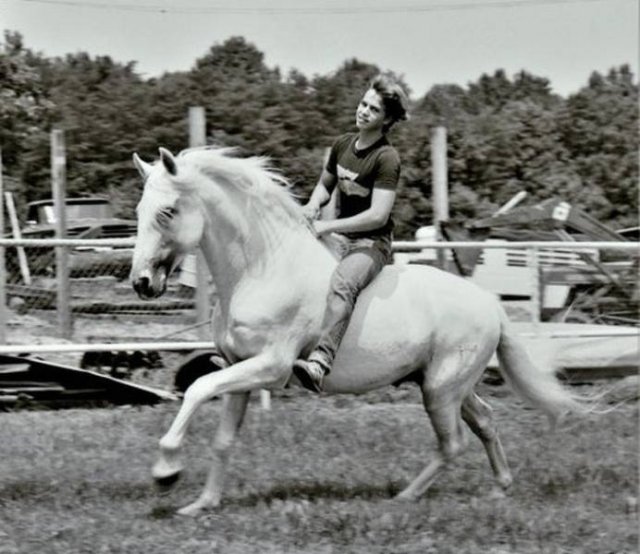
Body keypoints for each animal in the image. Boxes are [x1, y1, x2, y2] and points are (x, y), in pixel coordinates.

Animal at [130, 146, 592, 512]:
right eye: (139, 211)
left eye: (167, 211)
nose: (141, 283)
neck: (262, 269)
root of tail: (492, 305)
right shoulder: (238, 368)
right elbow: (223, 437)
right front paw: (202, 504)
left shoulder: (270, 367)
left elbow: (197, 388)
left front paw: (166, 471)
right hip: (448, 384)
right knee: (485, 422)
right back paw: (499, 488)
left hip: (440, 388)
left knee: (453, 442)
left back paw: (405, 497)